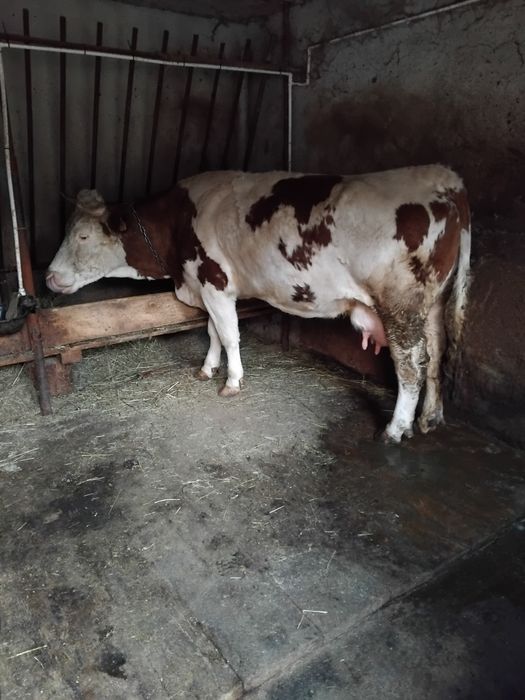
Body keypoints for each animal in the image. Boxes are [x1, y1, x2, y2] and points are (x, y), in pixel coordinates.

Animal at [46, 165, 470, 443]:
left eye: (82, 236)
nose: (49, 276)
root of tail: (444, 178)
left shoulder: (215, 281)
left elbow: (229, 333)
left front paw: (232, 380)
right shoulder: (207, 286)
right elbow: (212, 332)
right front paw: (208, 368)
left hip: (400, 306)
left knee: (411, 365)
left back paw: (396, 429)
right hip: (432, 304)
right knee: (436, 352)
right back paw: (431, 418)